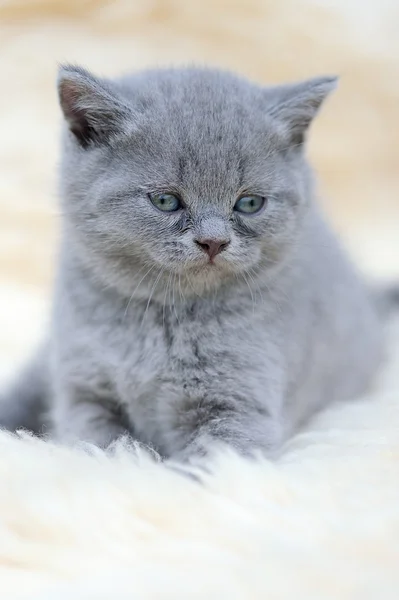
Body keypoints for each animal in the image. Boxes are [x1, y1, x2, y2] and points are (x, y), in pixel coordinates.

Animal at [0, 64, 392, 460]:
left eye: (249, 203)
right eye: (165, 201)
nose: (214, 241)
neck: (159, 321)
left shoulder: (238, 408)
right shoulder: (83, 392)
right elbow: (103, 444)